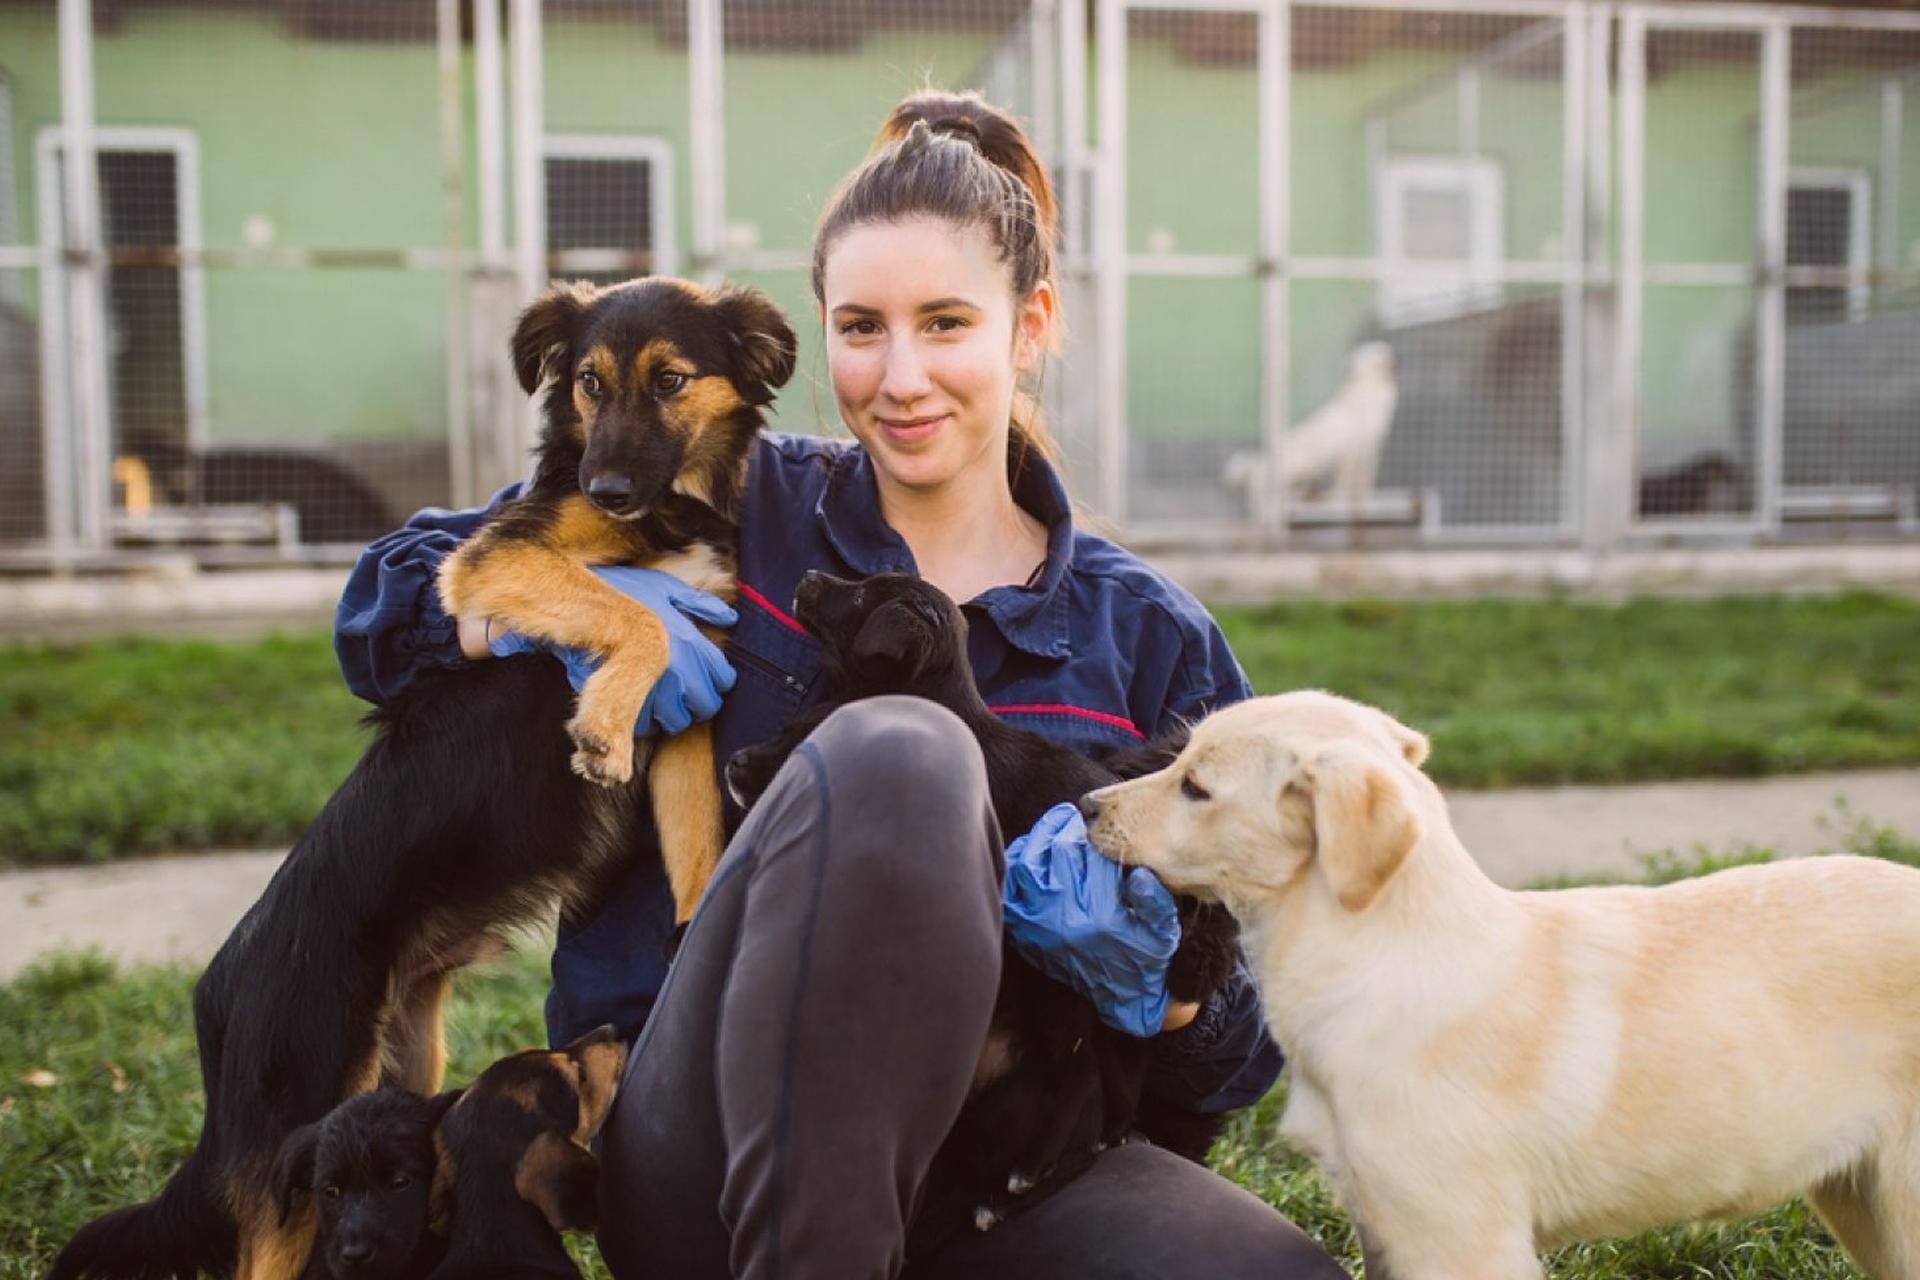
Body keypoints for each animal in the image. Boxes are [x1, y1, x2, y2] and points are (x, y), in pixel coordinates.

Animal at [1083, 689, 1920, 1280]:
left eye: (1196, 787)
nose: (1086, 805)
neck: (1380, 959)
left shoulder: (1463, 1245)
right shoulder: (1384, 1227)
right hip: (1860, 1200)